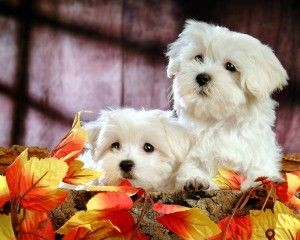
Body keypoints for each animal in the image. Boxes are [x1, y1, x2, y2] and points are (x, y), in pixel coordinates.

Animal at [166, 19, 288, 190]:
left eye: (231, 66)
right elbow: (190, 168)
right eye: (198, 58)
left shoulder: (259, 154)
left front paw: (261, 183)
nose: (202, 77)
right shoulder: (191, 154)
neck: (220, 122)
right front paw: (196, 180)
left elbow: (259, 171)